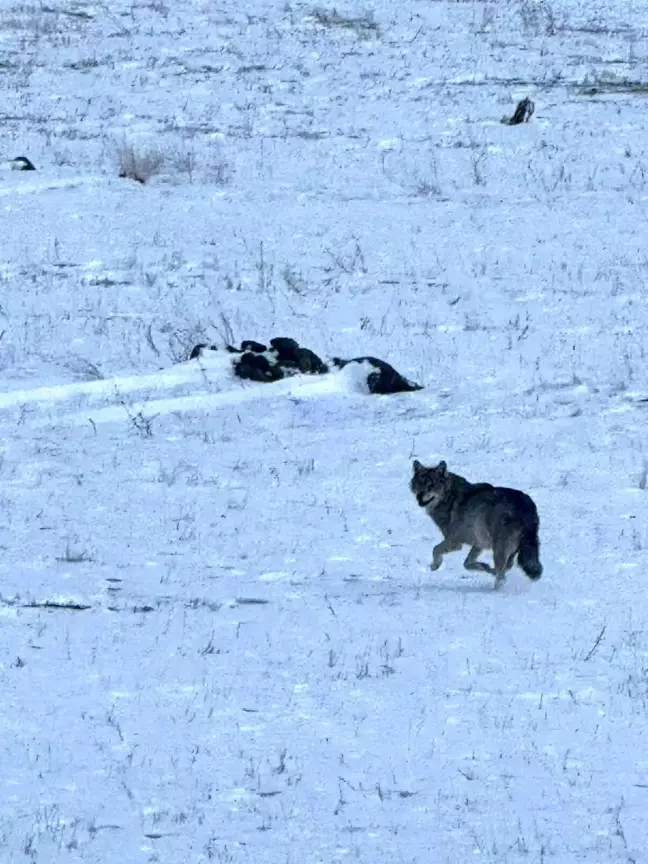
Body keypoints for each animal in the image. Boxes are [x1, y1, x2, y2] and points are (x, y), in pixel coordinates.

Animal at [410, 460, 540, 588]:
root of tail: (527, 507)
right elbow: (467, 564)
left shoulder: (454, 542)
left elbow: (435, 549)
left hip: (499, 549)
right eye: (418, 484)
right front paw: (485, 567)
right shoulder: (479, 543)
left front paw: (435, 565)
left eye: (431, 485)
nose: (419, 496)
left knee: (501, 577)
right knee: (508, 566)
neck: (449, 497)